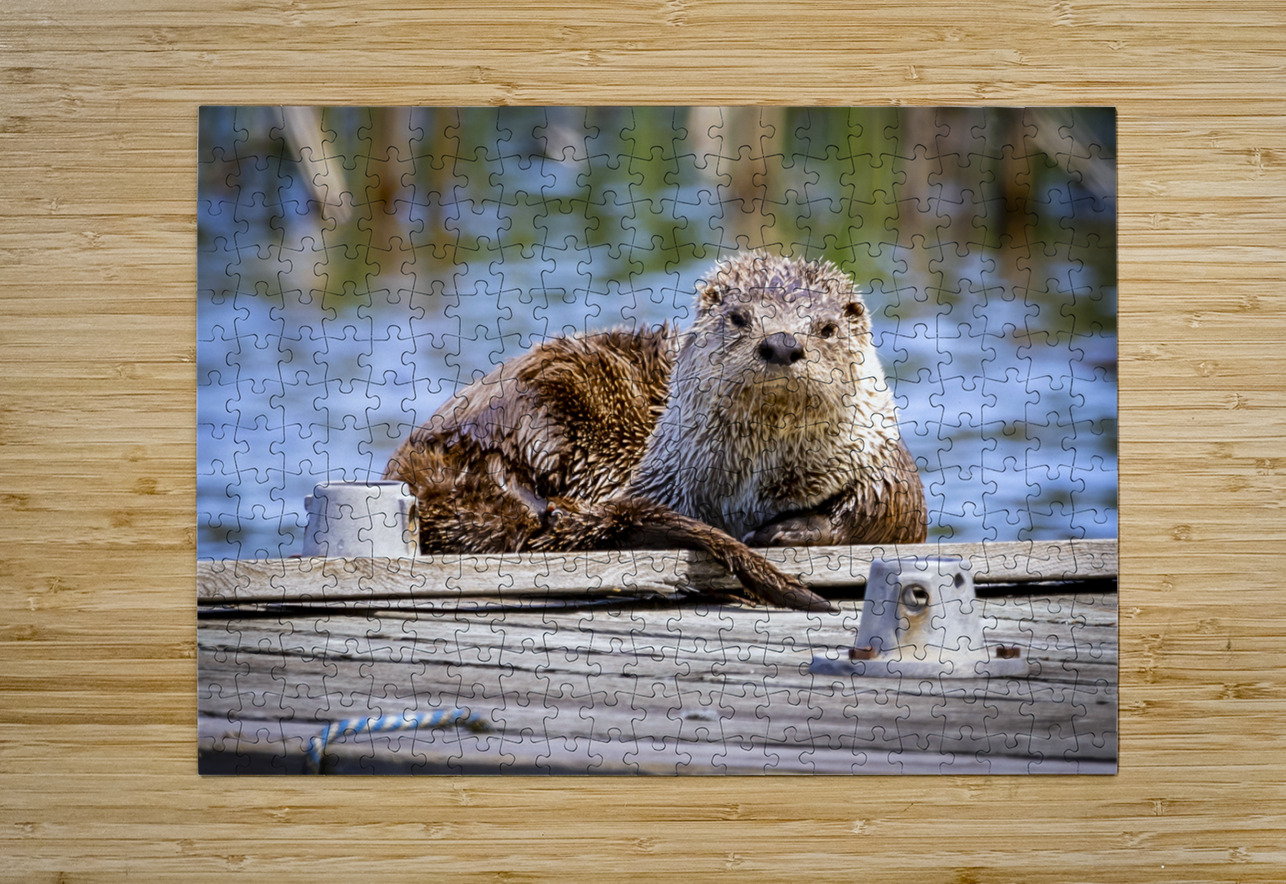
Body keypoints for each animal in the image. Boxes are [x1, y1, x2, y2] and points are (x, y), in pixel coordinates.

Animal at [385, 252, 926, 611]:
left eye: (827, 327)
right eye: (740, 317)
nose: (781, 343)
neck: (759, 487)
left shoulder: (881, 459)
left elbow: (892, 512)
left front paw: (789, 530)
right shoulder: (663, 480)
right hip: (536, 394)